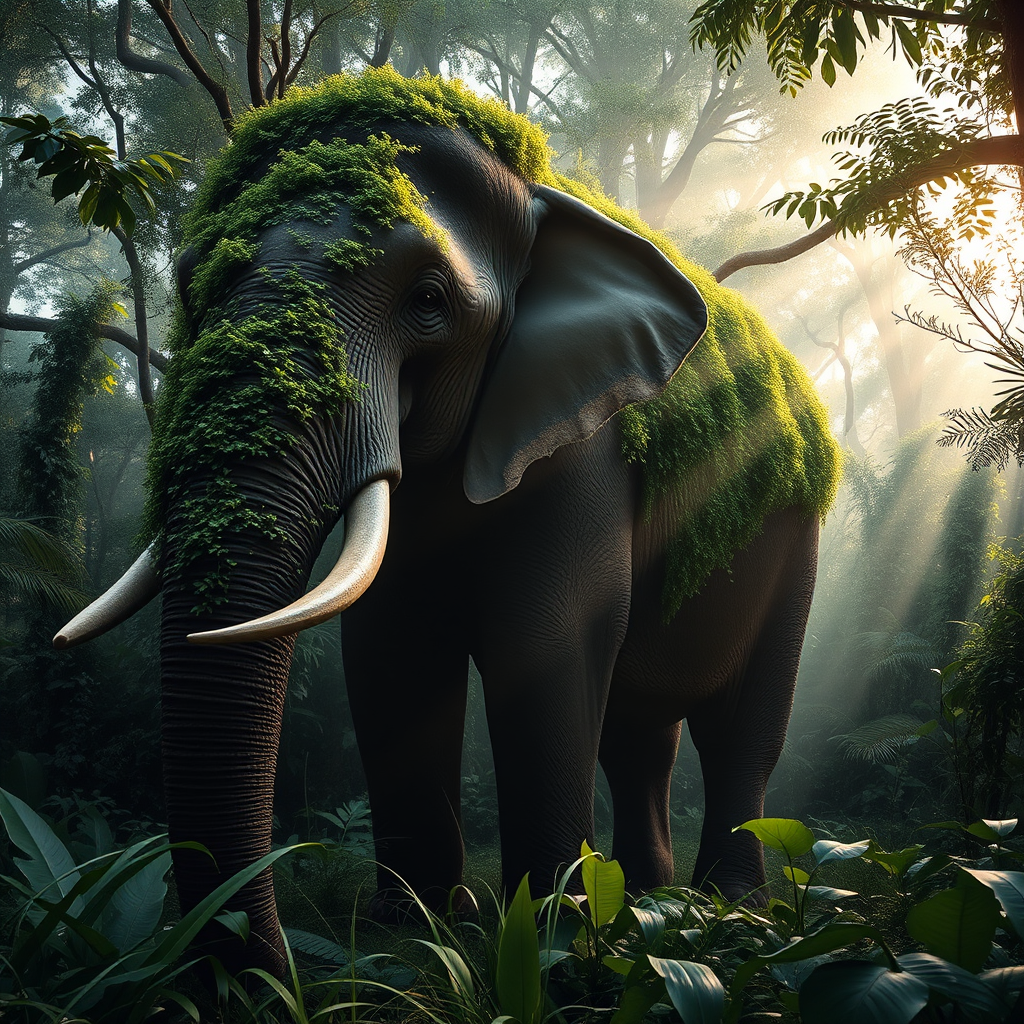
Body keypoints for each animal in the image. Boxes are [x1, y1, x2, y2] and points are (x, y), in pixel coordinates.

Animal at [55, 68, 840, 976]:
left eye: (427, 302)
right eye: (191, 284)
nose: (266, 975)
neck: (540, 200)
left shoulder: (581, 446)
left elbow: (545, 642)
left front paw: (553, 934)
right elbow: (390, 650)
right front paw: (419, 925)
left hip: (798, 540)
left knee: (740, 731)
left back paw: (730, 910)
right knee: (638, 734)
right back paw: (651, 901)